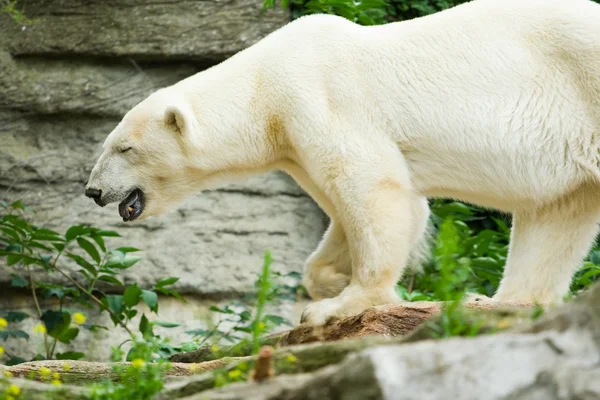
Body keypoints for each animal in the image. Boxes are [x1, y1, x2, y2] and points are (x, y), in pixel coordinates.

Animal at [84, 0, 600, 324]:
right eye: (106, 144)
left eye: (124, 148)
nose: (93, 191)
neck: (265, 87)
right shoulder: (296, 145)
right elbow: (344, 214)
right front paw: (330, 281)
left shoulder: (320, 100)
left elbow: (373, 190)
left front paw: (338, 305)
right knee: (558, 214)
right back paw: (501, 301)